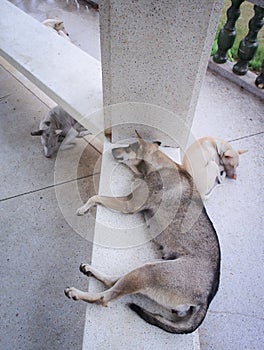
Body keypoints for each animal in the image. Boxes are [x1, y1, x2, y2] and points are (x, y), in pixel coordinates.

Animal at [64, 131, 221, 334]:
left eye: (129, 147)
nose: (112, 150)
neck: (158, 164)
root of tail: (206, 299)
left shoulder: (129, 204)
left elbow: (96, 196)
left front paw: (83, 208)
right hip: (145, 271)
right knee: (113, 281)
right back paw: (90, 270)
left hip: (149, 272)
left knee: (105, 298)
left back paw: (77, 293)